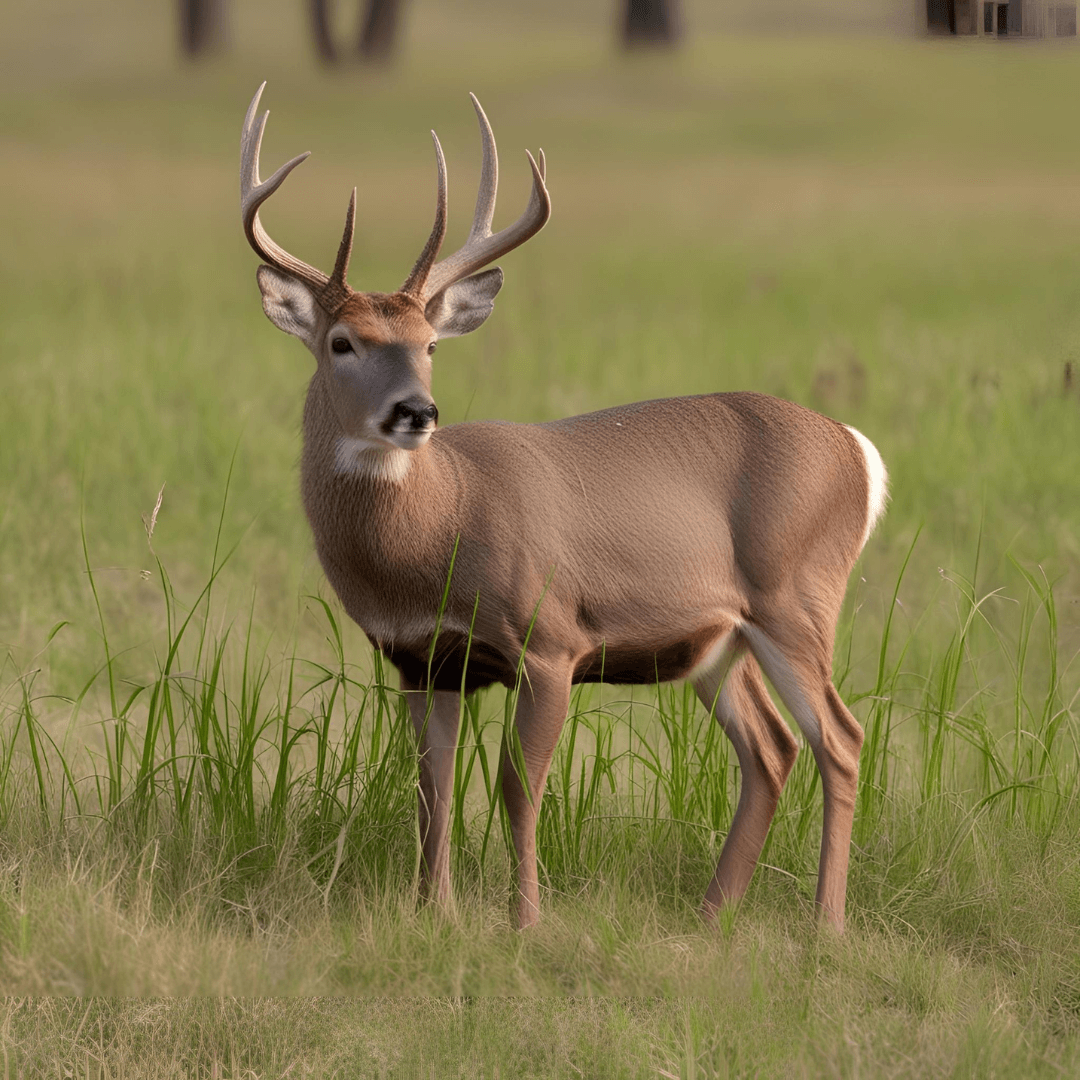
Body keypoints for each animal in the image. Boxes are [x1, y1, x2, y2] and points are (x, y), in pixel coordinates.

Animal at [240, 82, 889, 928]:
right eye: (342, 342)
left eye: (429, 344)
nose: (415, 411)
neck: (441, 525)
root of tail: (859, 451)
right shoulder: (423, 660)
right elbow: (432, 790)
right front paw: (436, 913)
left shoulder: (550, 640)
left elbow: (518, 787)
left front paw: (525, 921)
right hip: (719, 639)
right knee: (772, 748)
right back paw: (712, 916)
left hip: (797, 598)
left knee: (840, 738)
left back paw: (825, 926)